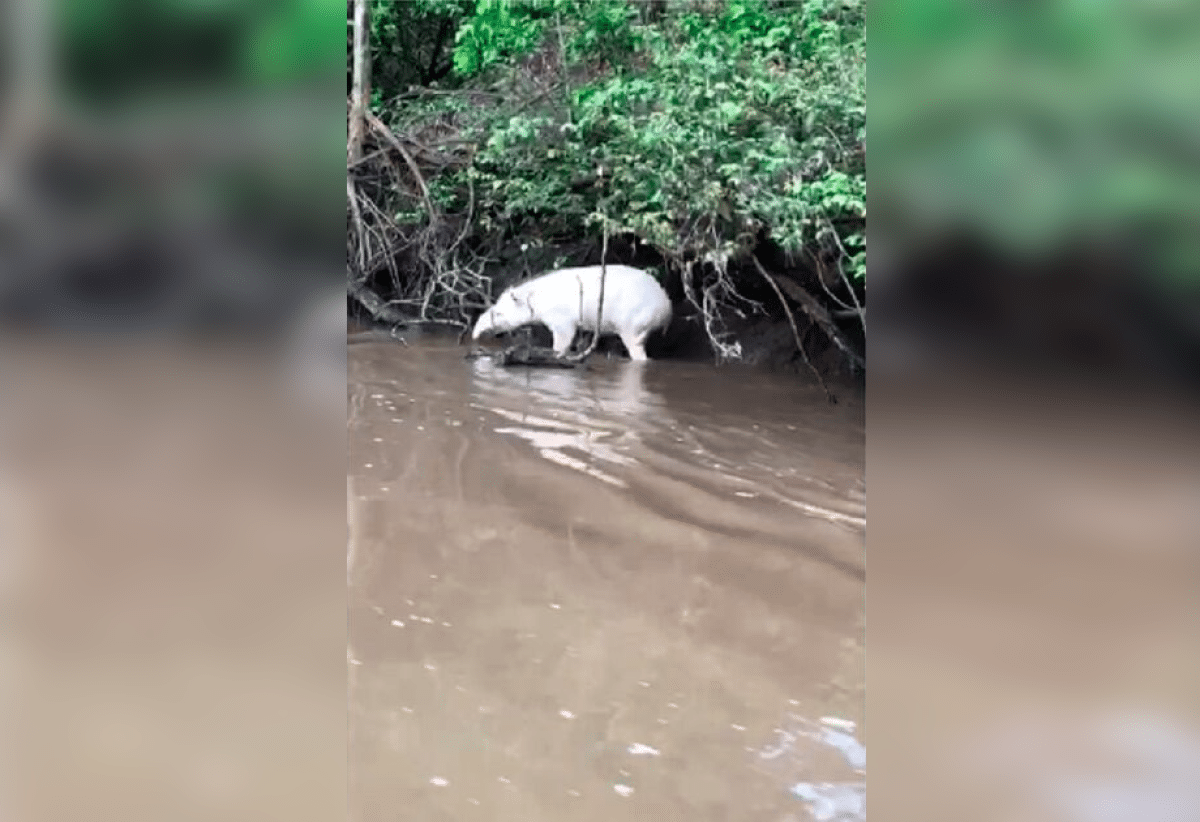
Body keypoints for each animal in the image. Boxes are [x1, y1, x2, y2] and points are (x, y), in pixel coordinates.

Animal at [470, 264, 676, 357]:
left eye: (498, 313)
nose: (474, 333)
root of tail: (667, 307)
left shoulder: (561, 318)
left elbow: (563, 339)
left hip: (634, 320)